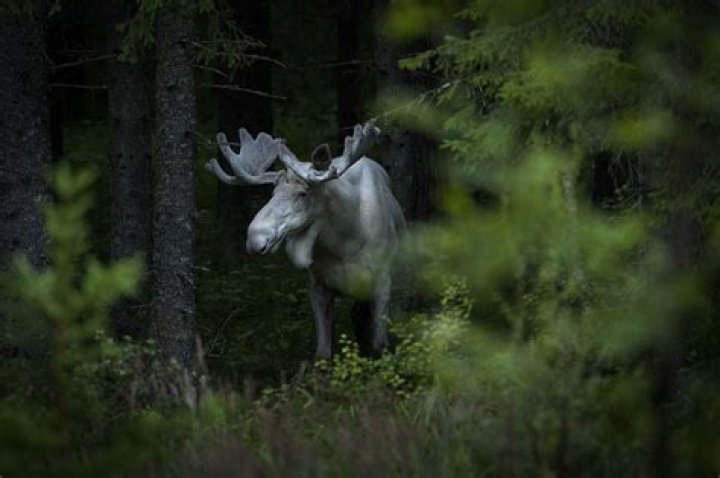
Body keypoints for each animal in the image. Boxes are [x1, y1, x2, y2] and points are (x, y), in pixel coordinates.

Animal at [205, 122, 405, 358]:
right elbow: (323, 352)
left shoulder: (382, 280)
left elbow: (380, 343)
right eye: (273, 192)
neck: (344, 243)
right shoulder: (318, 285)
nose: (255, 238)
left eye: (302, 193)